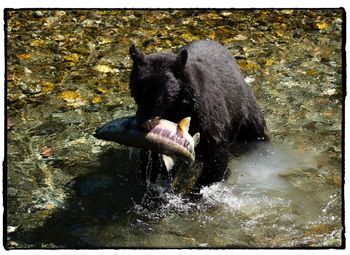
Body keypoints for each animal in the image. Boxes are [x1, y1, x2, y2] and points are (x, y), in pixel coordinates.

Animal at [129, 39, 268, 190]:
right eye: (137, 95)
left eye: (159, 100)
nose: (143, 125)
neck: (178, 108)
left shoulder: (206, 111)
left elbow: (216, 149)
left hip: (246, 112)